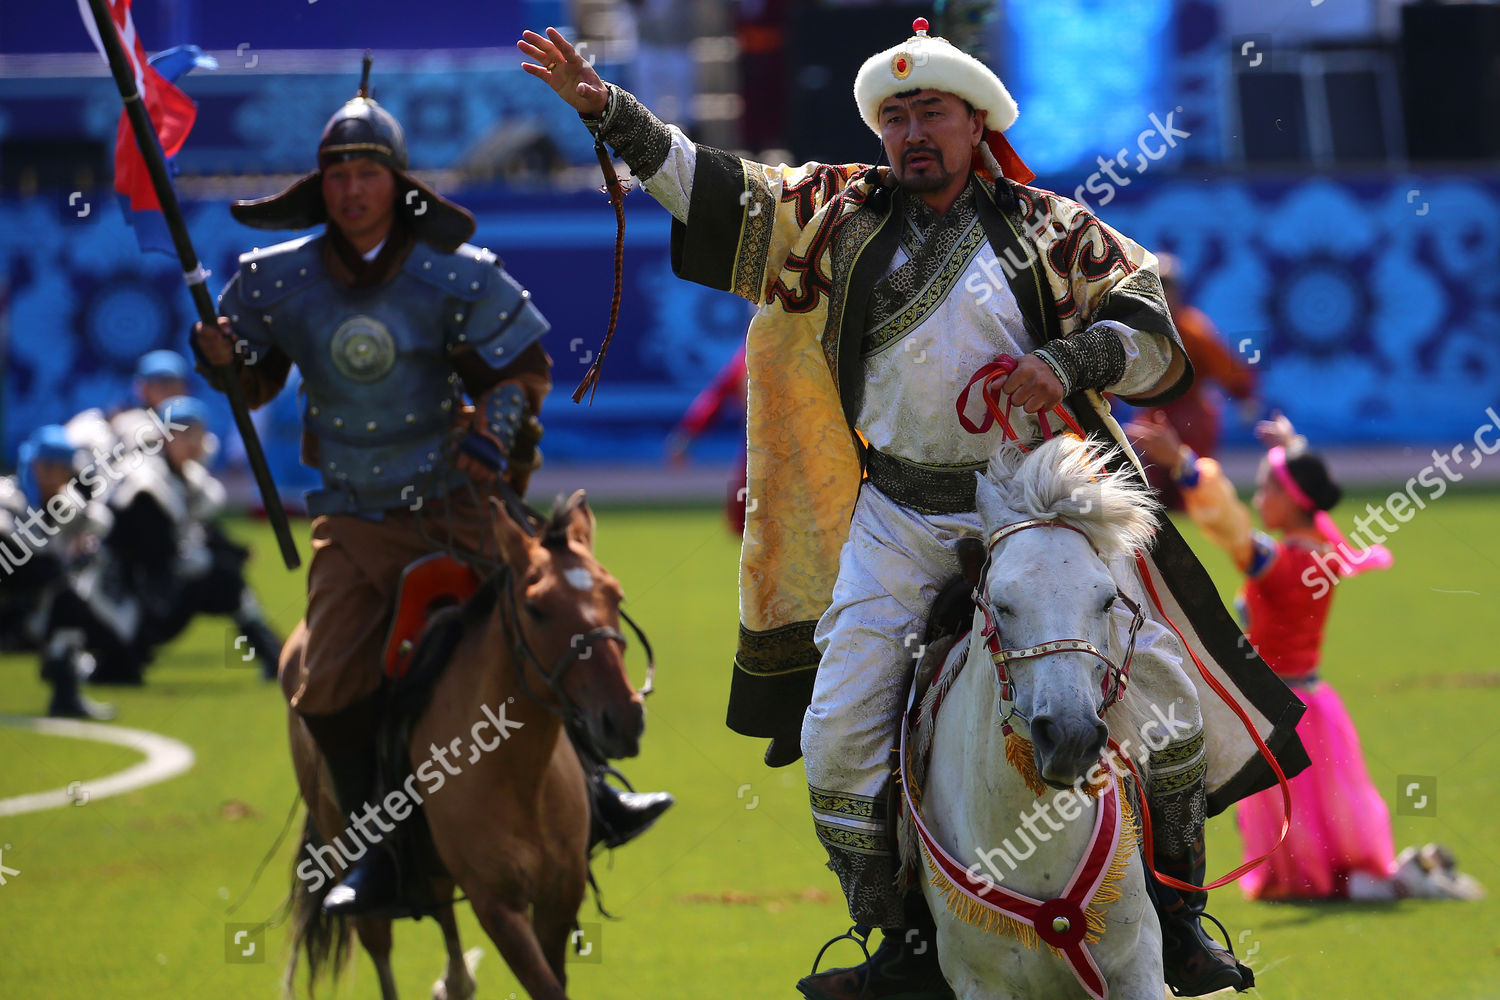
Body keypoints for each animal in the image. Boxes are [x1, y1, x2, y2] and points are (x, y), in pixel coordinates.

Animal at [282, 491, 645, 1000]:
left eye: (615, 595)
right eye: (536, 608)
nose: (623, 718)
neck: (519, 778)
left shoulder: (561, 892)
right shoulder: (496, 904)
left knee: (449, 944)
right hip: (345, 848)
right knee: (381, 943)